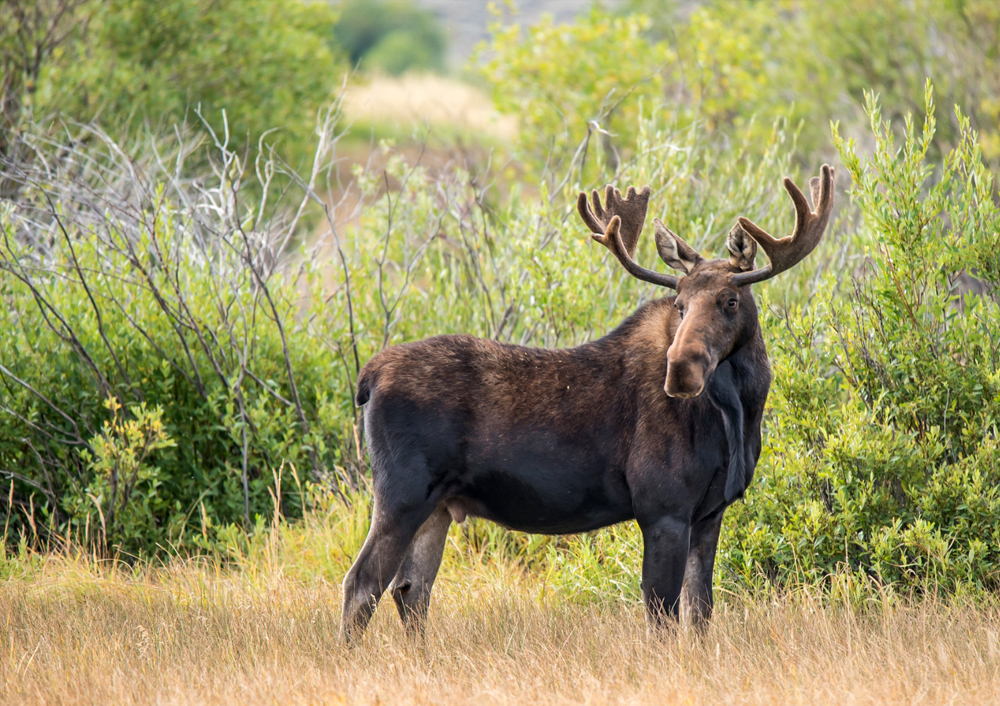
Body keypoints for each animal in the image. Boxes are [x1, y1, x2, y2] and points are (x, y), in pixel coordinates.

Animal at [344, 164, 836, 640]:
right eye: (679, 303)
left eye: (730, 300)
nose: (681, 370)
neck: (739, 413)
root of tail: (368, 377)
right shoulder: (662, 508)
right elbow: (662, 615)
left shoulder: (710, 513)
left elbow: (700, 614)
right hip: (402, 493)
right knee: (362, 582)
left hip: (438, 505)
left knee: (411, 588)